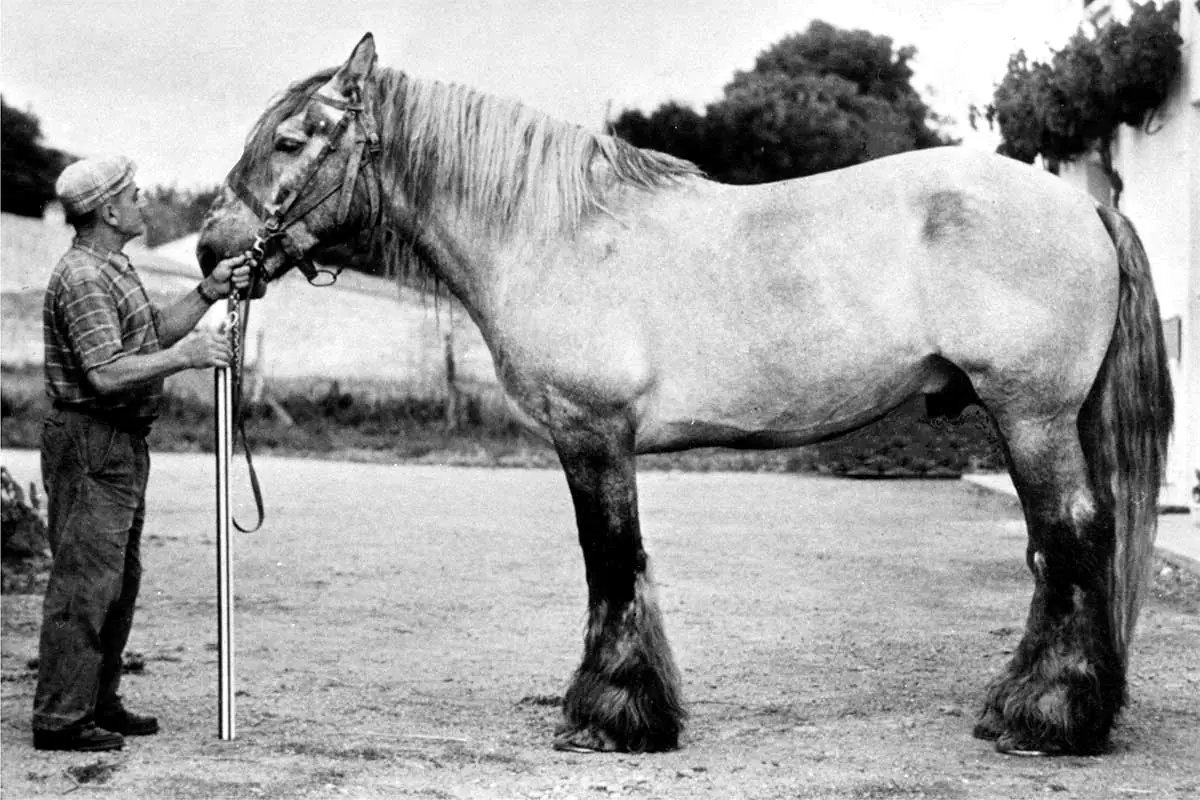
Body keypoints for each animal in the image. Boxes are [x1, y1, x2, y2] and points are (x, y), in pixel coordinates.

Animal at [196, 31, 1171, 758]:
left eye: (290, 141)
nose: (212, 249)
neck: (555, 232)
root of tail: (1083, 207)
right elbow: (617, 565)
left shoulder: (593, 434)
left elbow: (611, 560)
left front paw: (610, 717)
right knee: (1061, 551)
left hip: (1030, 415)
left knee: (1071, 539)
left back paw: (1045, 719)